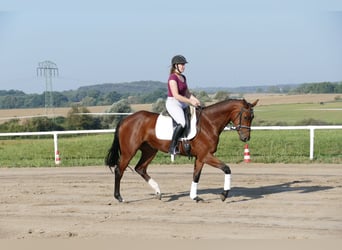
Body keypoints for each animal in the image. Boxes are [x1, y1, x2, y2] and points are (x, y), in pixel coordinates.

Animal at [105, 98, 258, 202]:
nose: (246, 138)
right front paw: (224, 195)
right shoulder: (206, 155)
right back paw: (119, 197)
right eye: (245, 116)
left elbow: (196, 176)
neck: (209, 123)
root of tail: (125, 119)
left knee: (140, 168)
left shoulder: (200, 157)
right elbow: (227, 169)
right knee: (119, 170)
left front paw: (194, 197)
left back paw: (158, 192)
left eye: (252, 117)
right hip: (129, 151)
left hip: (150, 151)